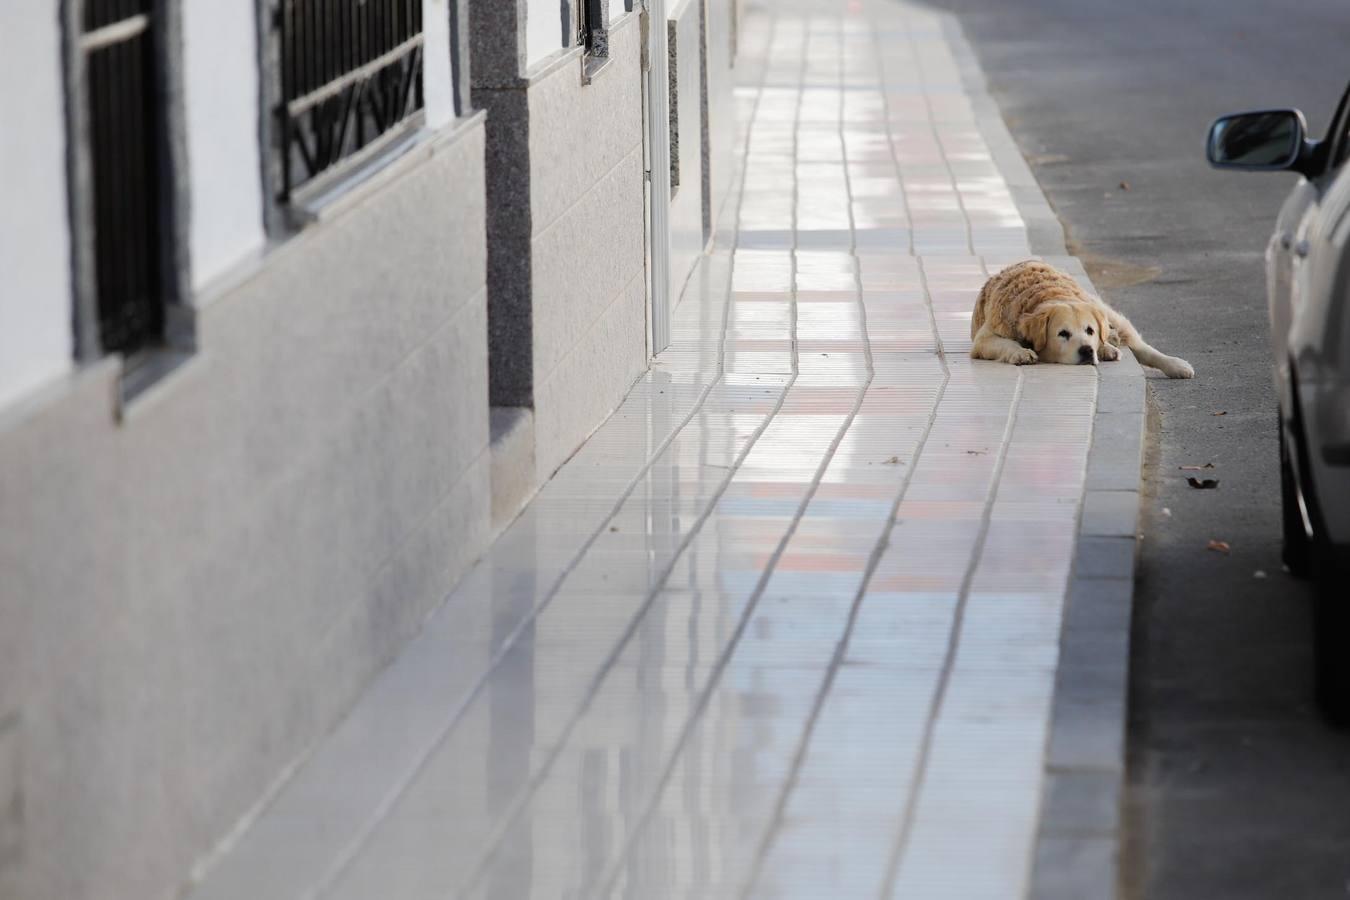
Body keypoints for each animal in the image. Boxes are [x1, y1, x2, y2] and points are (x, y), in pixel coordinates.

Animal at [972, 259, 1193, 377]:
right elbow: (1006, 343)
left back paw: (1177, 365)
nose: (1087, 350)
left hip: (1108, 314)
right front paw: (1020, 353)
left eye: (1090, 330)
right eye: (1063, 333)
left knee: (1141, 346)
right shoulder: (983, 339)